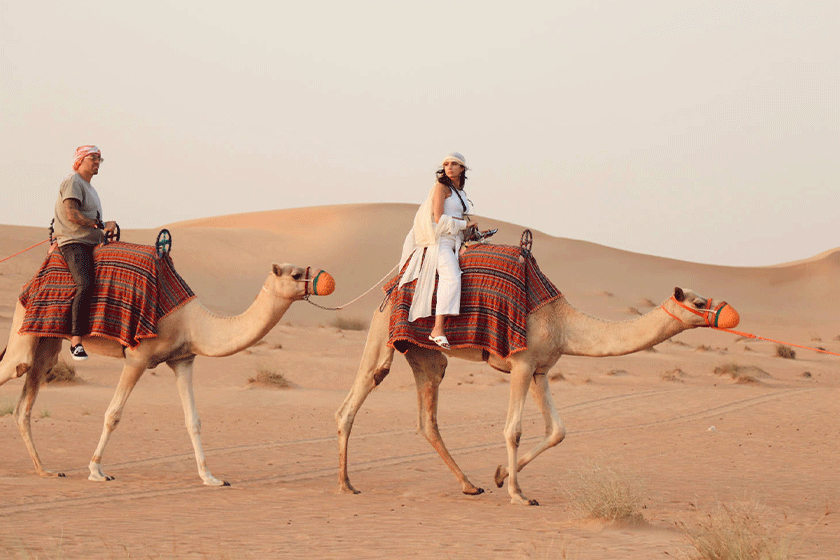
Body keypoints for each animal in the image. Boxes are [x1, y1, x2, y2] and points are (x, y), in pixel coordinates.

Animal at [0, 262, 335, 486]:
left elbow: (193, 420)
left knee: (24, 404)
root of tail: (28, 286)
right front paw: (96, 471)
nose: (326, 281)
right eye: (294, 274)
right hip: (24, 332)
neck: (192, 322)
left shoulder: (183, 359)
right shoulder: (137, 358)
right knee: (16, 367)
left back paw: (45, 470)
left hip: (46, 342)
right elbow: (113, 414)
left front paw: (211, 477)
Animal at [335, 286, 738, 505]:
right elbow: (512, 430)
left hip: (425, 355)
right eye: (698, 302)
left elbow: (557, 431)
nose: (726, 313)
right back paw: (346, 485)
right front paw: (518, 494)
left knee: (426, 420)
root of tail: (390, 292)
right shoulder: (522, 363)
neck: (564, 324)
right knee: (354, 400)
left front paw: (500, 475)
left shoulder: (540, 370)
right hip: (382, 334)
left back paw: (470, 485)